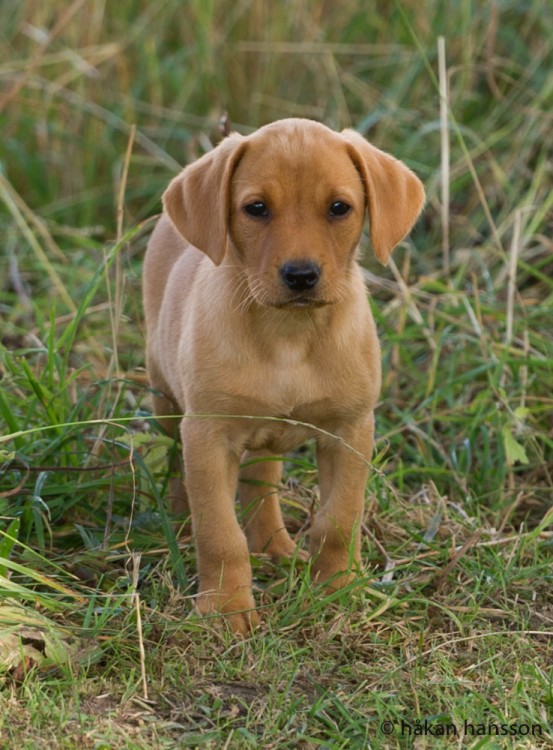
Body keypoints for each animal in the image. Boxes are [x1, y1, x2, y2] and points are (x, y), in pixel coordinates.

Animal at [142, 117, 422, 636]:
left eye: (339, 208)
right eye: (256, 208)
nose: (301, 276)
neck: (289, 337)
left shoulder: (350, 431)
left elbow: (338, 520)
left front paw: (337, 589)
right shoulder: (207, 436)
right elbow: (219, 532)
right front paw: (227, 608)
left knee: (260, 481)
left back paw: (275, 547)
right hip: (166, 402)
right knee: (178, 468)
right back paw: (182, 523)